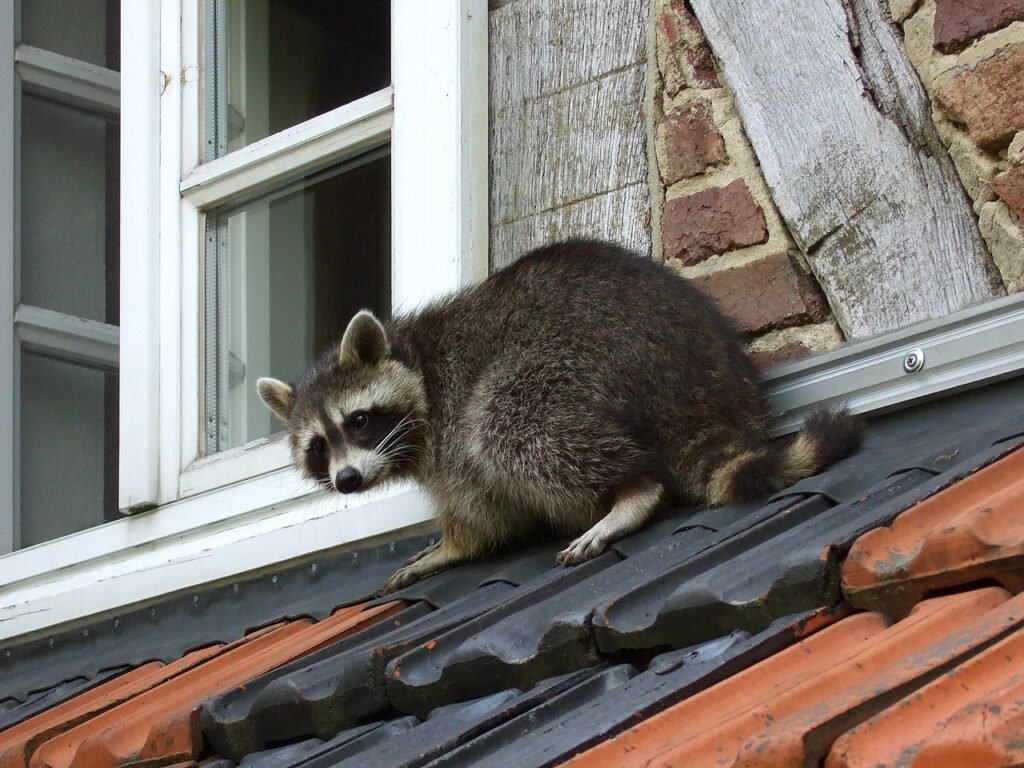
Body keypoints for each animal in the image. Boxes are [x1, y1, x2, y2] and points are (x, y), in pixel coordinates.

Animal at [258, 239, 861, 593]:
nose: (346, 479)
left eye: (358, 421)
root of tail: (704, 385)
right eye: (318, 446)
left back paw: (631, 489)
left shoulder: (448, 425)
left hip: (583, 358)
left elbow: (478, 509)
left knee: (507, 425)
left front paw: (454, 545)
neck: (415, 358)